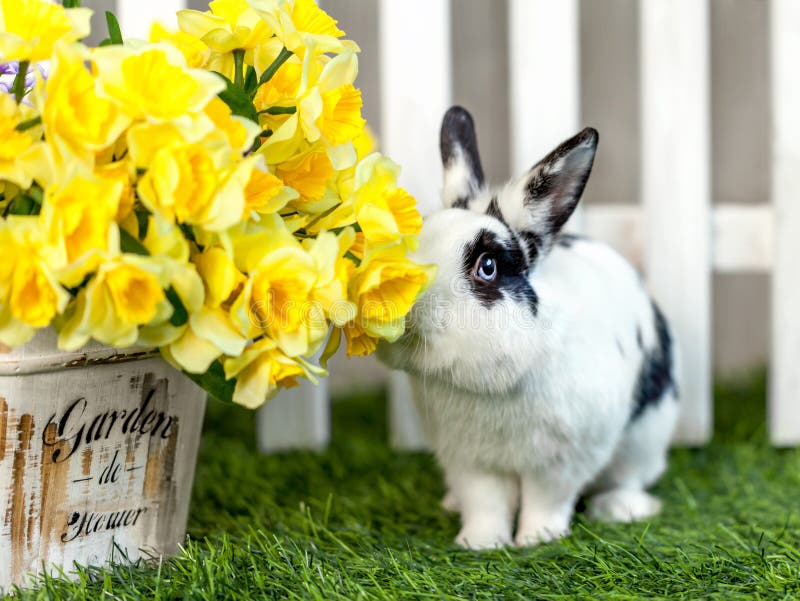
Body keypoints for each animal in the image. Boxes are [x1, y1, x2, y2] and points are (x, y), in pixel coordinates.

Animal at [378, 106, 680, 548]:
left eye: (487, 267)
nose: (401, 301)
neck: (488, 385)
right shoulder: (469, 460)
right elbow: (485, 503)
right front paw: (480, 543)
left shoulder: (561, 461)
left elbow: (546, 500)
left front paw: (537, 539)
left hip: (646, 437)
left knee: (631, 477)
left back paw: (619, 509)